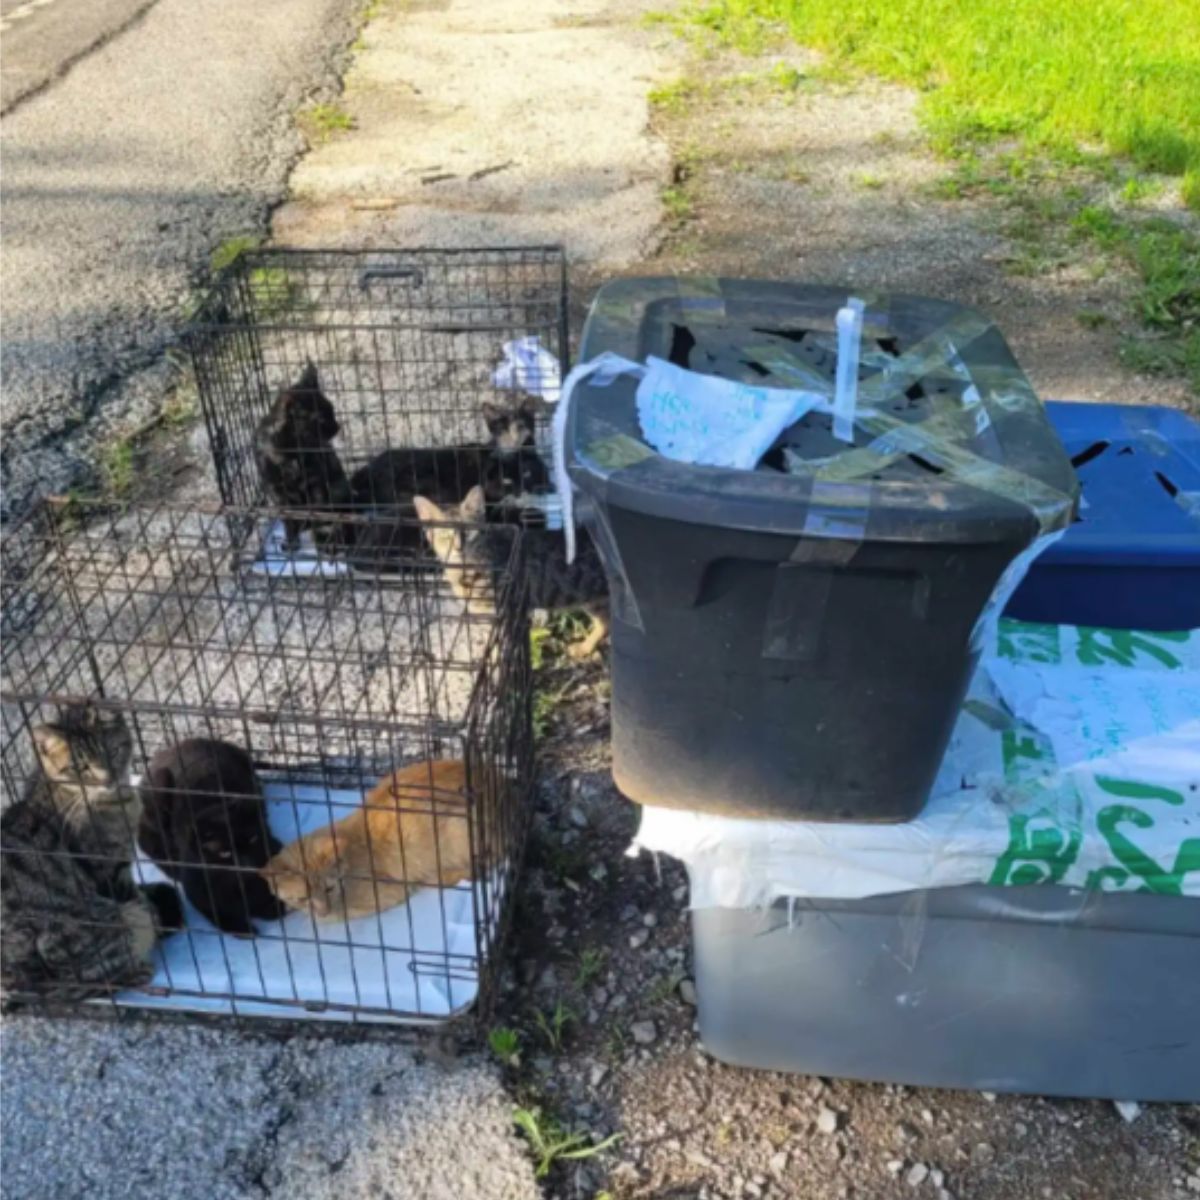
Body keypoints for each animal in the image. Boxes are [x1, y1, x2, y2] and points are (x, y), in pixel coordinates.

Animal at [0, 700, 180, 1003]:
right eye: (80, 767)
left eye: (113, 751)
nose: (107, 780)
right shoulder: (111, 872)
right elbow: (137, 897)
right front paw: (156, 911)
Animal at [137, 739, 286, 936]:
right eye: (224, 853)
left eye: (253, 840)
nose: (246, 865)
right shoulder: (197, 891)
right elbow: (217, 911)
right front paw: (244, 928)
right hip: (160, 788)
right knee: (143, 834)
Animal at [252, 357, 350, 549]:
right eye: (320, 419)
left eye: (332, 409)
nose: (337, 427)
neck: (292, 454)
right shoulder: (277, 493)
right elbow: (288, 520)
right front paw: (291, 543)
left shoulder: (316, 484)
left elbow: (318, 514)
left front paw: (321, 536)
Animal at [417, 484, 614, 657]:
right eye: (445, 535)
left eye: (470, 533)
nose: (458, 548)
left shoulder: (502, 614)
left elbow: (500, 646)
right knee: (605, 623)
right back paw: (585, 647)